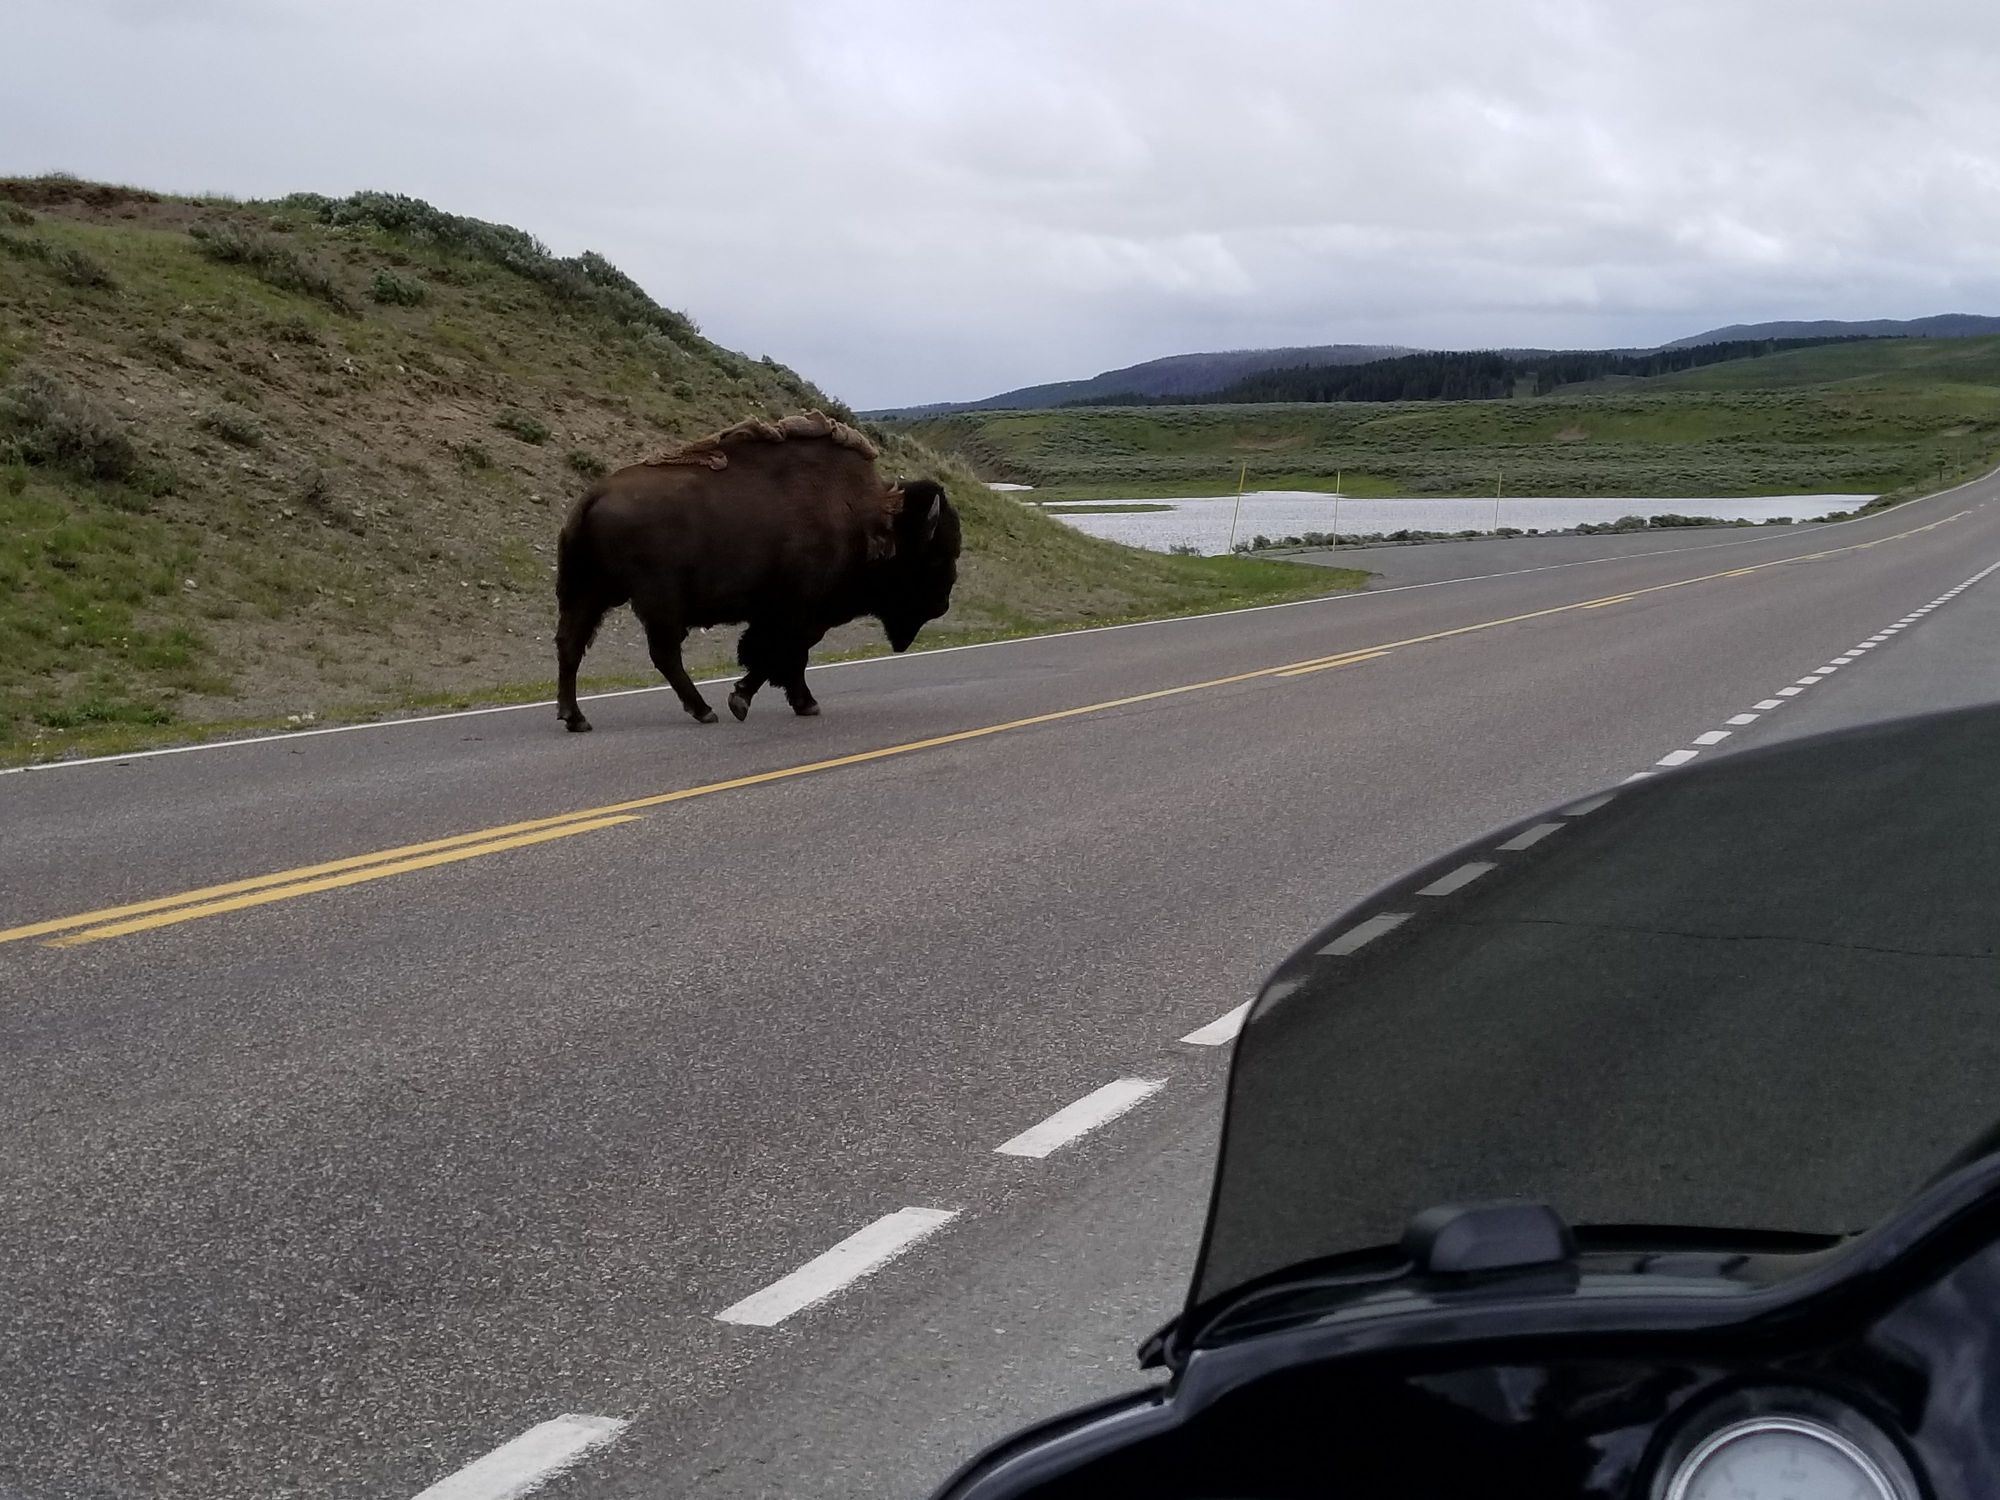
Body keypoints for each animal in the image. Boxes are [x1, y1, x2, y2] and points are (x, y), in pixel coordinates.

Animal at [553, 411, 961, 732]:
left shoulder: (785, 616)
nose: (942, 604)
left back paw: (576, 718)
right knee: (663, 653)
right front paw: (746, 700)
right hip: (655, 601)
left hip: (589, 594)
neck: (866, 519)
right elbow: (778, 655)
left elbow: (783, 658)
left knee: (571, 645)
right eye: (934, 558)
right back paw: (704, 711)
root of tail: (593, 496)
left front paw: (799, 702)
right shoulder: (797, 614)